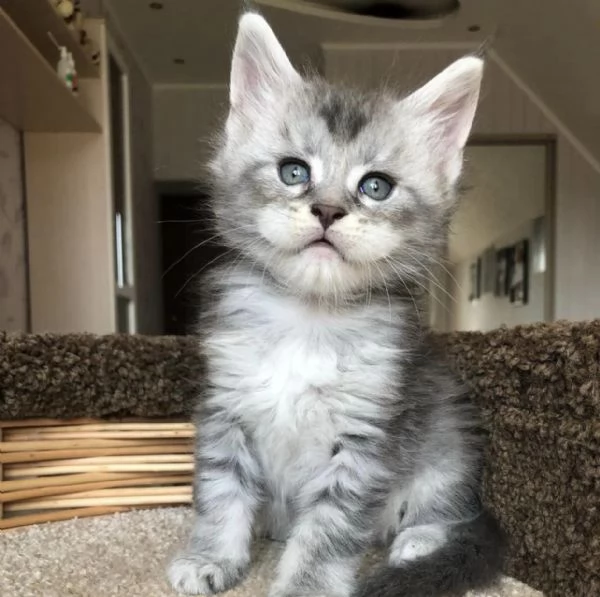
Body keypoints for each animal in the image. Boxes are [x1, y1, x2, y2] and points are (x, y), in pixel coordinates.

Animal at [166, 10, 504, 596]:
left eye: (376, 186)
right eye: (294, 172)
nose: (326, 210)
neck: (309, 318)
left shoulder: (368, 433)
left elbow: (330, 527)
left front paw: (306, 585)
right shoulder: (225, 407)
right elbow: (221, 493)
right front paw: (210, 557)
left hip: (449, 438)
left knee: (445, 504)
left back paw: (420, 543)